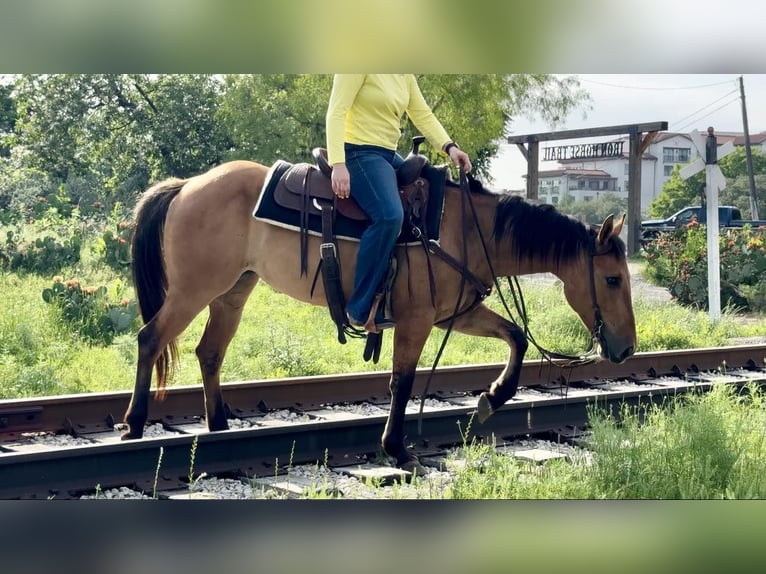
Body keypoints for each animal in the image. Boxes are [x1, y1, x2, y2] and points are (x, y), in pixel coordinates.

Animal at [121, 156, 636, 472]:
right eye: (613, 279)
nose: (628, 349)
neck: (467, 229)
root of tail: (187, 185)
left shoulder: (455, 314)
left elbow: (516, 337)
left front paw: (492, 398)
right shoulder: (416, 320)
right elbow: (402, 382)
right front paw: (398, 450)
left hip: (231, 292)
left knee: (209, 352)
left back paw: (220, 428)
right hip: (192, 290)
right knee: (150, 338)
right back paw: (133, 425)